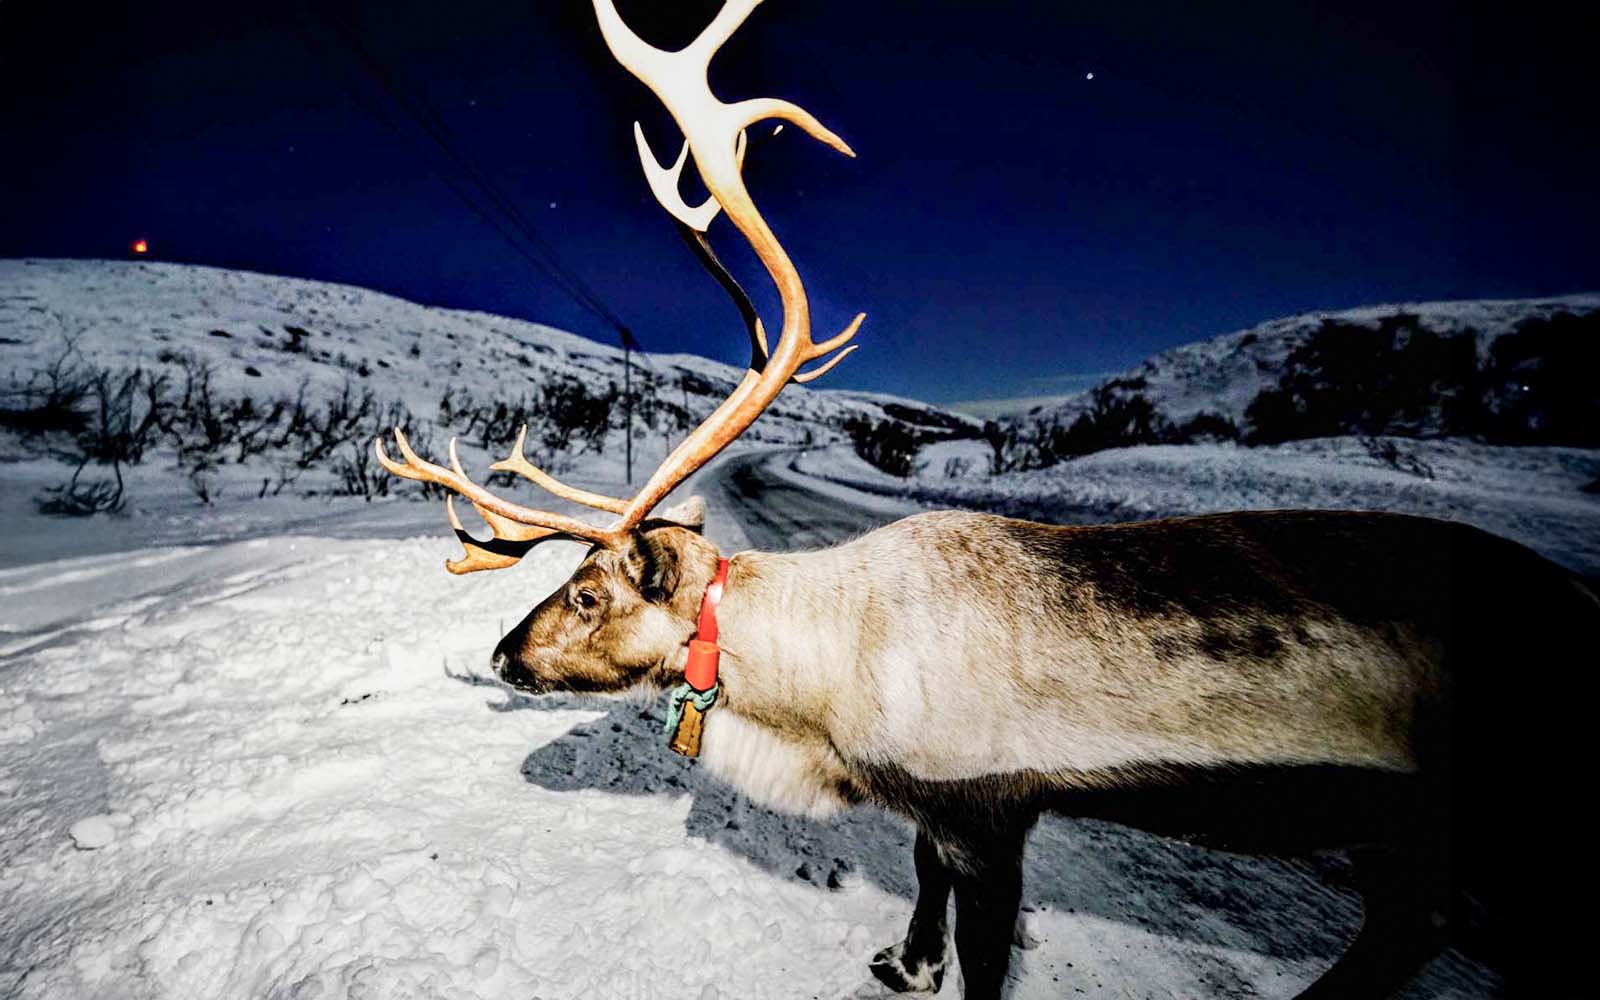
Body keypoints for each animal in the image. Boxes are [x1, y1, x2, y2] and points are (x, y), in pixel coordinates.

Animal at [374, 2, 1593, 996]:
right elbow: (922, 888)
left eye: (588, 594)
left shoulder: (994, 809)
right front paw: (901, 961)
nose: (501, 655)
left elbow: (984, 953)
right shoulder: (936, 811)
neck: (823, 687)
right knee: (1407, 924)